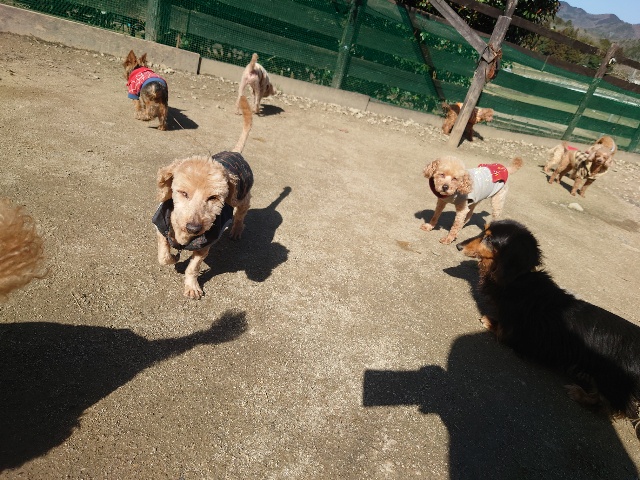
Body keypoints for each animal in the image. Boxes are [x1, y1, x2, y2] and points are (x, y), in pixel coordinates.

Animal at [153, 96, 253, 299]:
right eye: (183, 193)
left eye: (213, 197)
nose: (194, 228)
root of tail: (235, 152)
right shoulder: (160, 227)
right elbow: (164, 257)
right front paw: (173, 257)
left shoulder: (204, 246)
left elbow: (193, 267)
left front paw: (192, 286)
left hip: (242, 198)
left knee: (240, 215)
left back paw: (236, 231)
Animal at [456, 220, 640, 424]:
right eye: (484, 232)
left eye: (489, 238)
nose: (458, 245)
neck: (517, 279)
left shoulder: (513, 333)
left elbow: (500, 329)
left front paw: (488, 320)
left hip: (609, 378)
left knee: (615, 406)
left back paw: (581, 394)